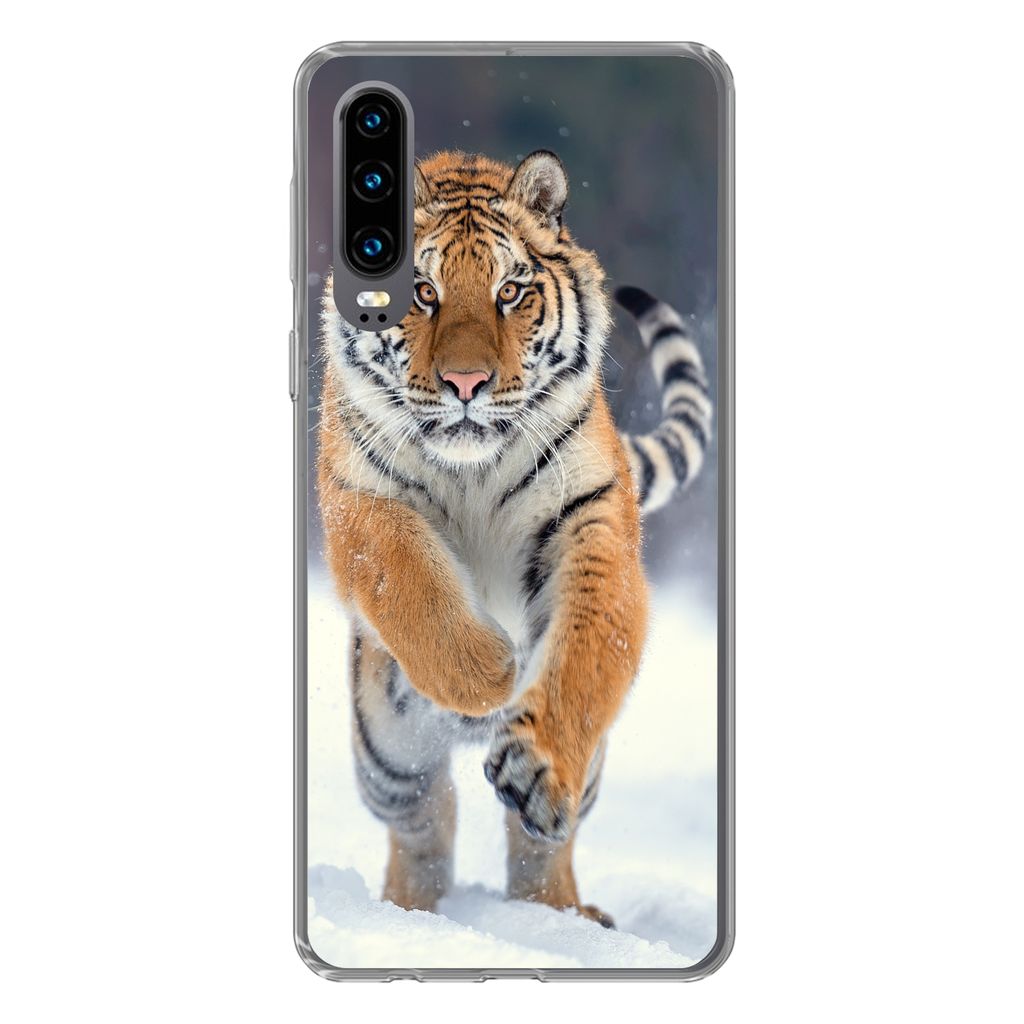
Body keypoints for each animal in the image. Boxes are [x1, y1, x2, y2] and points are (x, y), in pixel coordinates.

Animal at [317, 149, 712, 928]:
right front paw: (489, 671)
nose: (466, 382)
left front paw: (536, 762)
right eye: (422, 291)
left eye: (510, 291)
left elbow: (587, 651)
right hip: (387, 754)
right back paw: (411, 913)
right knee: (425, 819)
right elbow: (406, 578)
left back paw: (560, 915)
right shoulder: (358, 500)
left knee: (537, 844)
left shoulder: (591, 519)